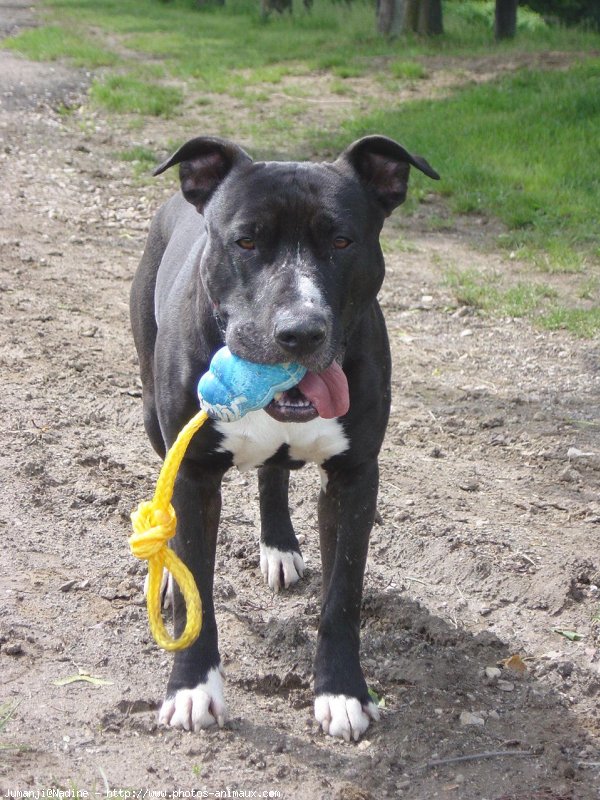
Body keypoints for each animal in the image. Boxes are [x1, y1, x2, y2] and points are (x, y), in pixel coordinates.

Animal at [131, 134, 438, 740]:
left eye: (342, 240)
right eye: (246, 241)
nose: (300, 331)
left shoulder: (355, 477)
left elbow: (343, 594)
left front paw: (342, 692)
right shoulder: (193, 474)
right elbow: (197, 576)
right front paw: (191, 688)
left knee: (273, 473)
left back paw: (279, 545)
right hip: (156, 419)